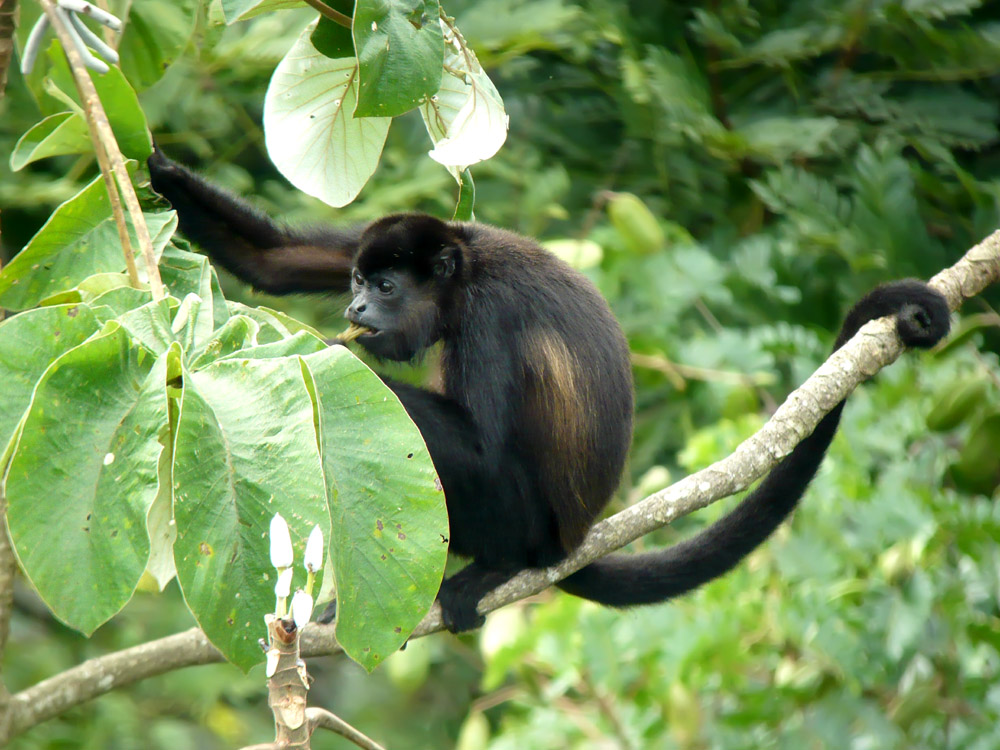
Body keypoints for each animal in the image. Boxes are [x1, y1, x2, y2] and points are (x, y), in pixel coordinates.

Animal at [145, 151, 948, 636]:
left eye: (387, 286)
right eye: (357, 278)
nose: (355, 308)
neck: (461, 274)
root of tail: (576, 536)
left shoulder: (490, 318)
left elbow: (481, 451)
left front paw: (322, 356)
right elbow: (274, 261)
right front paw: (163, 174)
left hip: (528, 526)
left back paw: (491, 570)